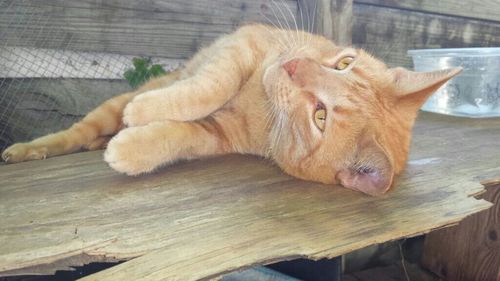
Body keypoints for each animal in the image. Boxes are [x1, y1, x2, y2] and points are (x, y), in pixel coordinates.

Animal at [0, 24, 460, 195]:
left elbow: (177, 135)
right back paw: (29, 149)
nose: (294, 66)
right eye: (343, 63)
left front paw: (130, 149)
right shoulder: (244, 46)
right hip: (110, 106)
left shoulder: (217, 135)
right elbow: (207, 87)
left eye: (321, 116)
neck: (262, 107)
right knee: (75, 132)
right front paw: (146, 110)